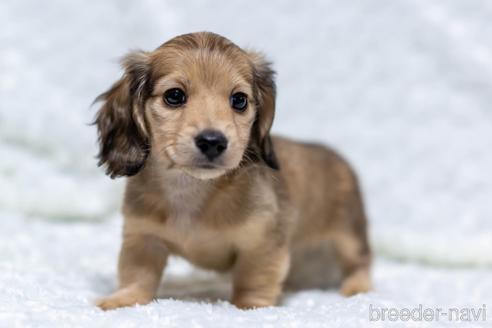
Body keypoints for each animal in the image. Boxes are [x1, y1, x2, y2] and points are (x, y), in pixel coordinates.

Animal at [94, 31, 370, 310]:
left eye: (239, 100)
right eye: (174, 95)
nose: (212, 142)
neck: (190, 188)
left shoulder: (262, 242)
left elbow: (254, 279)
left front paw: (250, 307)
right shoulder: (143, 238)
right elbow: (137, 275)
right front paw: (123, 300)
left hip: (349, 233)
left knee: (360, 262)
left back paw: (357, 288)